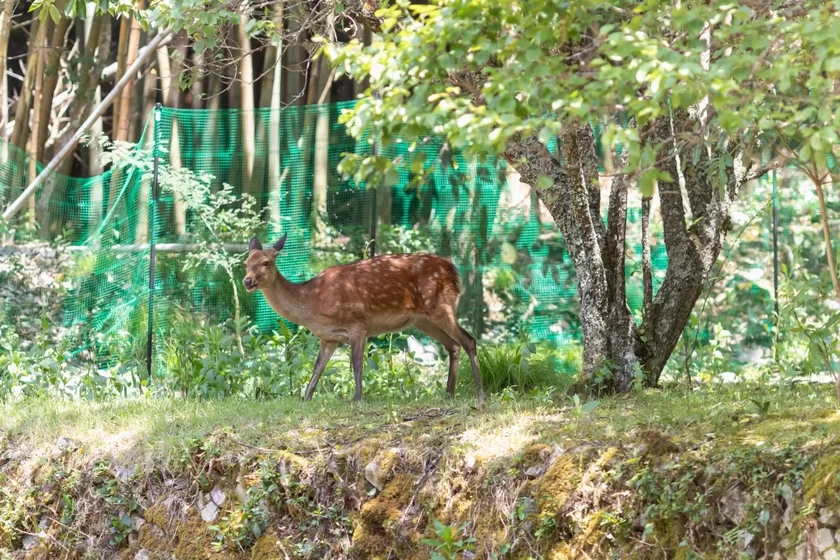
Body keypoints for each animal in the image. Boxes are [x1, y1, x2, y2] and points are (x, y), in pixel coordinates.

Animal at [241, 234, 486, 404]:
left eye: (265, 262)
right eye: (245, 263)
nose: (247, 281)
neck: (312, 304)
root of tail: (454, 270)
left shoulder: (358, 324)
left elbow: (357, 365)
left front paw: (358, 399)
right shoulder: (329, 337)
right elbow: (317, 369)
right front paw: (306, 399)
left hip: (441, 306)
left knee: (469, 340)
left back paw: (480, 395)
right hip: (422, 319)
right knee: (453, 345)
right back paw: (449, 393)